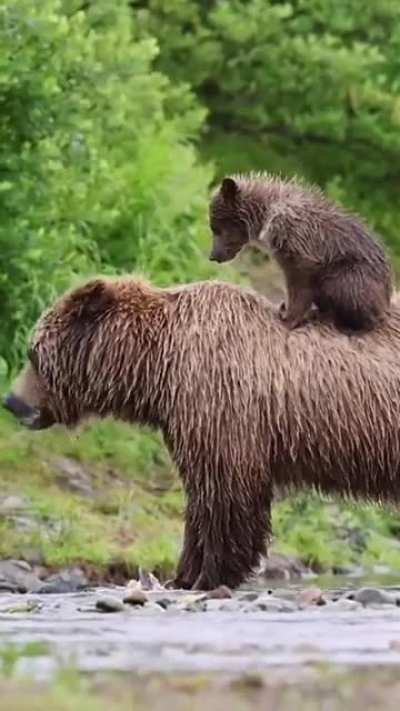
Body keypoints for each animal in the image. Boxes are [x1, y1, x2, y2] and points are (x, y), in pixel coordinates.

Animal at [4, 276, 400, 591]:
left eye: (34, 353)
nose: (12, 402)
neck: (156, 367)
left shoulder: (220, 405)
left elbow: (224, 496)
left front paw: (208, 574)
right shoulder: (191, 417)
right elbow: (200, 498)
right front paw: (182, 576)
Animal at [209, 173, 393, 332]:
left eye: (216, 228)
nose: (213, 256)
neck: (265, 216)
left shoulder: (300, 247)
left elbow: (300, 286)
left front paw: (287, 318)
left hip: (350, 272)